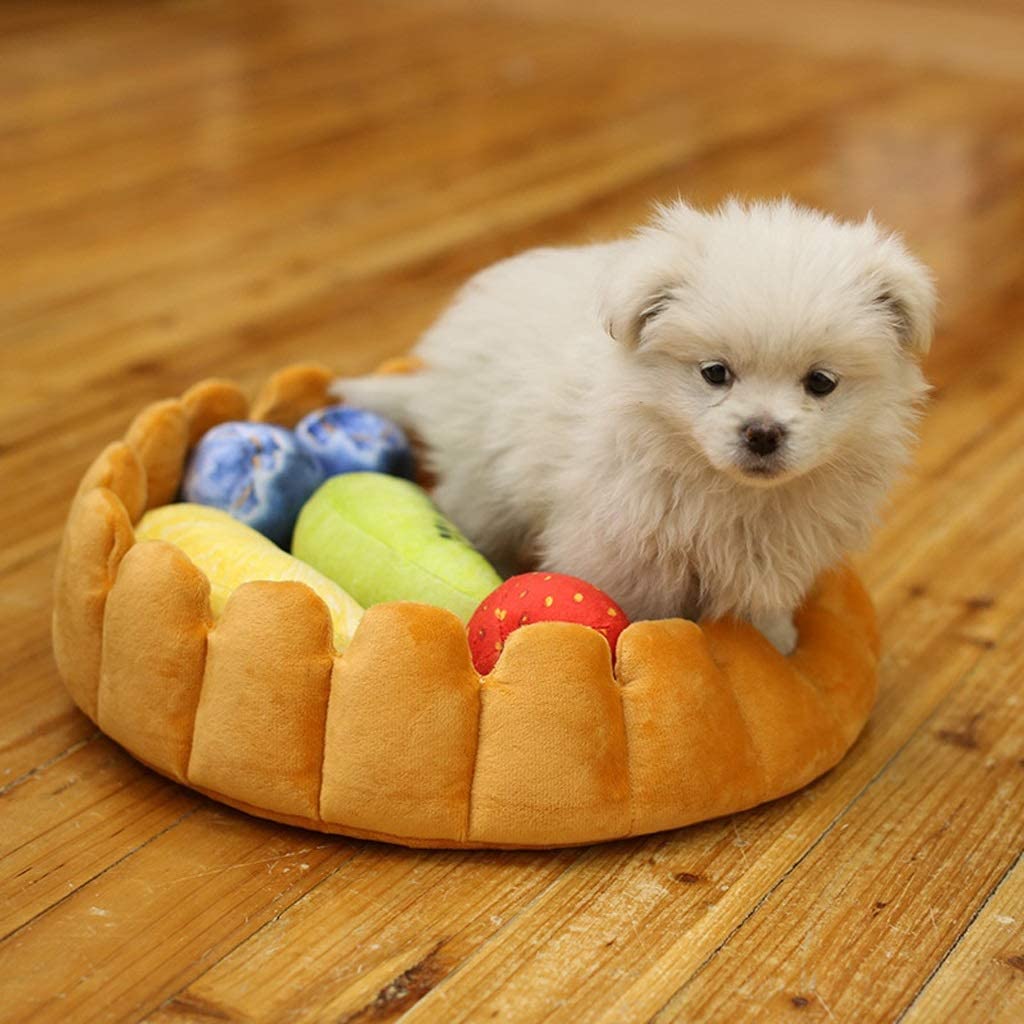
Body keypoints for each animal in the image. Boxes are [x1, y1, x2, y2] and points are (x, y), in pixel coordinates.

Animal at [337, 195, 937, 651]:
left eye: (821, 382)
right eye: (715, 373)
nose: (762, 433)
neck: (730, 492)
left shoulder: (775, 549)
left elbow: (760, 604)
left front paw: (778, 648)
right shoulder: (620, 545)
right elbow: (634, 610)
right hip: (482, 480)